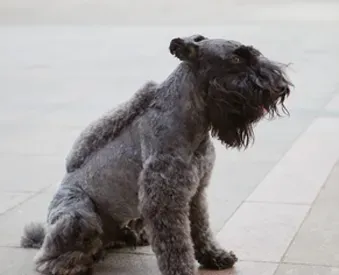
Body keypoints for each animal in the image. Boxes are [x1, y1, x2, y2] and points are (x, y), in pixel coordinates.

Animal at [20, 34, 292, 275]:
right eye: (236, 59)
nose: (280, 87)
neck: (191, 123)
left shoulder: (195, 193)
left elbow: (200, 228)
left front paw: (214, 256)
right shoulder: (165, 201)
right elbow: (176, 245)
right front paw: (182, 270)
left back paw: (130, 237)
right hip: (77, 216)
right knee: (49, 255)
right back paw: (70, 263)